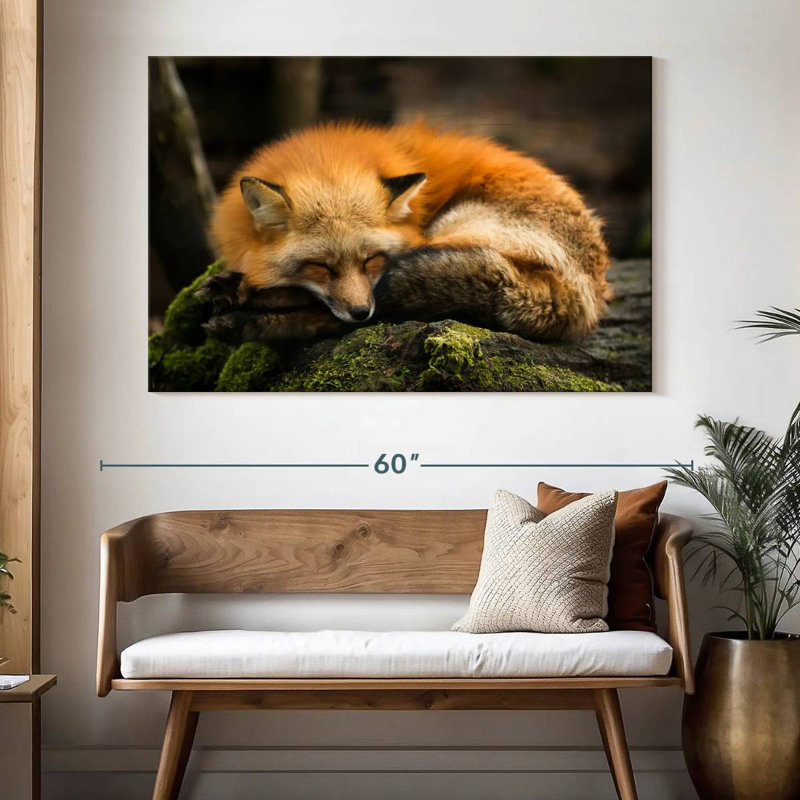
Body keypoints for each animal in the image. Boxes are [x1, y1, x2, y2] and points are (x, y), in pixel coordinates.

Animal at [204, 121, 611, 342]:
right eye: (320, 267)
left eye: (371, 260)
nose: (359, 312)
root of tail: (588, 294)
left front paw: (244, 294)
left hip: (452, 231)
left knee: (369, 312)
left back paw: (246, 317)